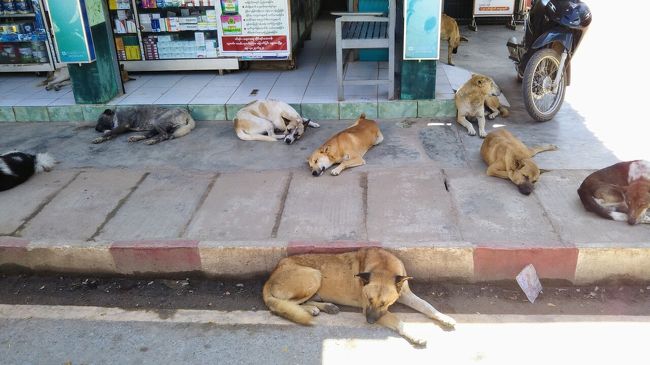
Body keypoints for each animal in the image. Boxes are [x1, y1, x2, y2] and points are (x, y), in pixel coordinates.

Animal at [260, 247, 454, 344]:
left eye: (384, 303)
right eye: (369, 299)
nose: (369, 322)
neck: (384, 267)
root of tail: (271, 275)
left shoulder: (405, 294)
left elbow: (427, 306)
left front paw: (444, 317)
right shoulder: (368, 309)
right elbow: (398, 320)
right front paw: (414, 334)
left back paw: (324, 306)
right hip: (314, 275)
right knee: (282, 305)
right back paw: (314, 308)